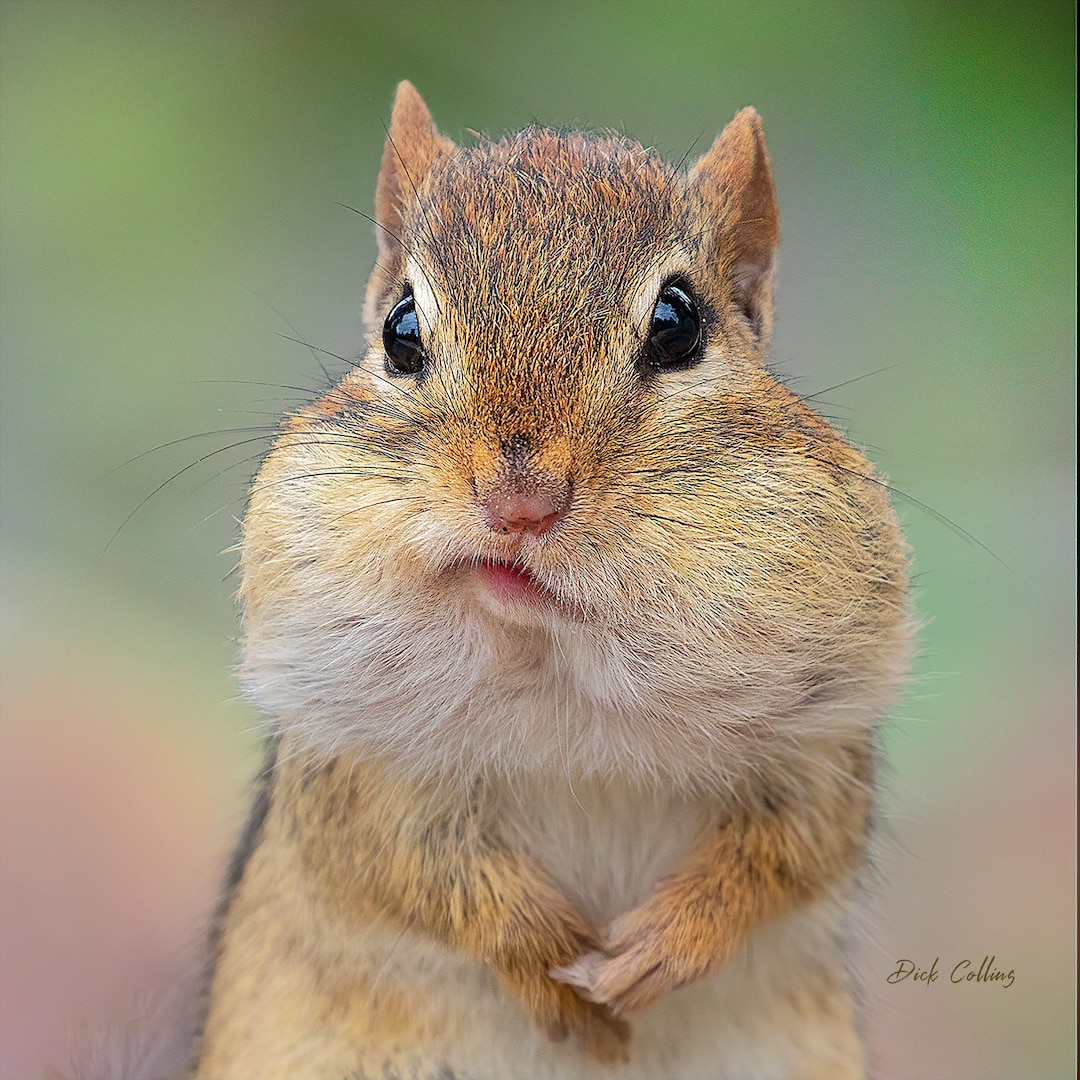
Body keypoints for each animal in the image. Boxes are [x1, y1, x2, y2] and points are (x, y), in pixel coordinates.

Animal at [192, 82, 911, 1080]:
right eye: (401, 330)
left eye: (678, 323)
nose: (520, 501)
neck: (552, 662)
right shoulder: (347, 751)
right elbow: (406, 863)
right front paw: (546, 959)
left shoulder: (821, 738)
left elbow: (790, 850)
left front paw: (660, 947)